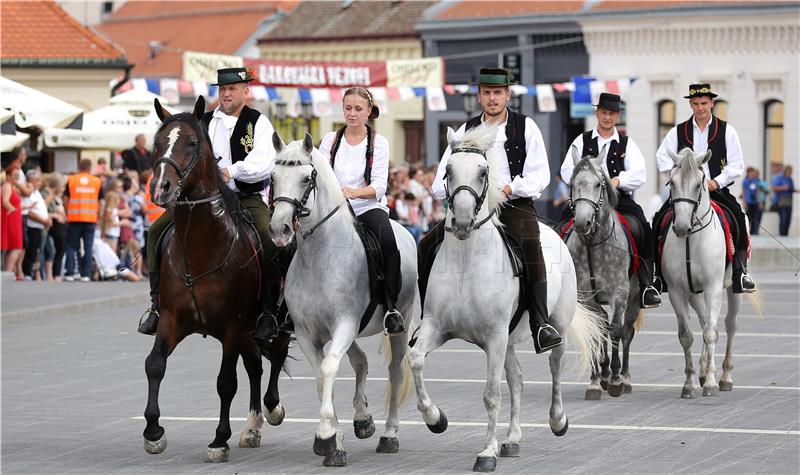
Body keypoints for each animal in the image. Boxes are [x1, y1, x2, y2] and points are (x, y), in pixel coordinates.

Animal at [144, 97, 290, 464]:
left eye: (192, 143)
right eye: (157, 142)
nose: (161, 188)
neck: (201, 249)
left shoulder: (231, 326)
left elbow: (226, 383)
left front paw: (218, 440)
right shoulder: (171, 319)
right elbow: (154, 366)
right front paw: (153, 432)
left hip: (272, 319)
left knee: (276, 353)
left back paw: (272, 409)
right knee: (255, 366)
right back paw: (252, 426)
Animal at [270, 133, 418, 468]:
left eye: (306, 178)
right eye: (272, 177)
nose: (279, 229)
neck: (321, 255)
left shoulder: (344, 324)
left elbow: (328, 370)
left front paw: (326, 436)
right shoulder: (308, 333)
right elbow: (321, 376)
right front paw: (333, 442)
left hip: (398, 319)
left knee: (395, 371)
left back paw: (389, 435)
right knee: (360, 361)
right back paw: (363, 419)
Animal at [410, 124, 604, 474]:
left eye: (483, 172)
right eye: (447, 170)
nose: (462, 222)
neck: (466, 261)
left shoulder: (495, 337)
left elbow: (491, 394)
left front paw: (486, 453)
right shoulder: (438, 328)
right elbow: (417, 359)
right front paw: (435, 418)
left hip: (555, 324)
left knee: (555, 365)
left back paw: (557, 421)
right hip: (509, 340)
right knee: (517, 380)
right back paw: (512, 439)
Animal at [564, 153, 648, 402]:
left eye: (597, 185)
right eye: (572, 184)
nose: (582, 223)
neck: (593, 244)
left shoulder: (619, 296)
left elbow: (617, 331)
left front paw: (616, 379)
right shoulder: (586, 298)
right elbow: (596, 333)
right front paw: (595, 380)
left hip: (633, 299)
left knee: (627, 333)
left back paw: (624, 377)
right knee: (602, 327)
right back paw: (603, 373)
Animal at [664, 148, 764, 398]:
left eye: (698, 184)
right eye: (672, 182)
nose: (681, 227)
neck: (691, 239)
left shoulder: (713, 288)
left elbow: (711, 332)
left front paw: (710, 382)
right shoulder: (677, 292)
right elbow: (687, 335)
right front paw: (689, 383)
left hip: (732, 290)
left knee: (729, 325)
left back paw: (725, 376)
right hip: (694, 293)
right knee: (704, 321)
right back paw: (701, 371)